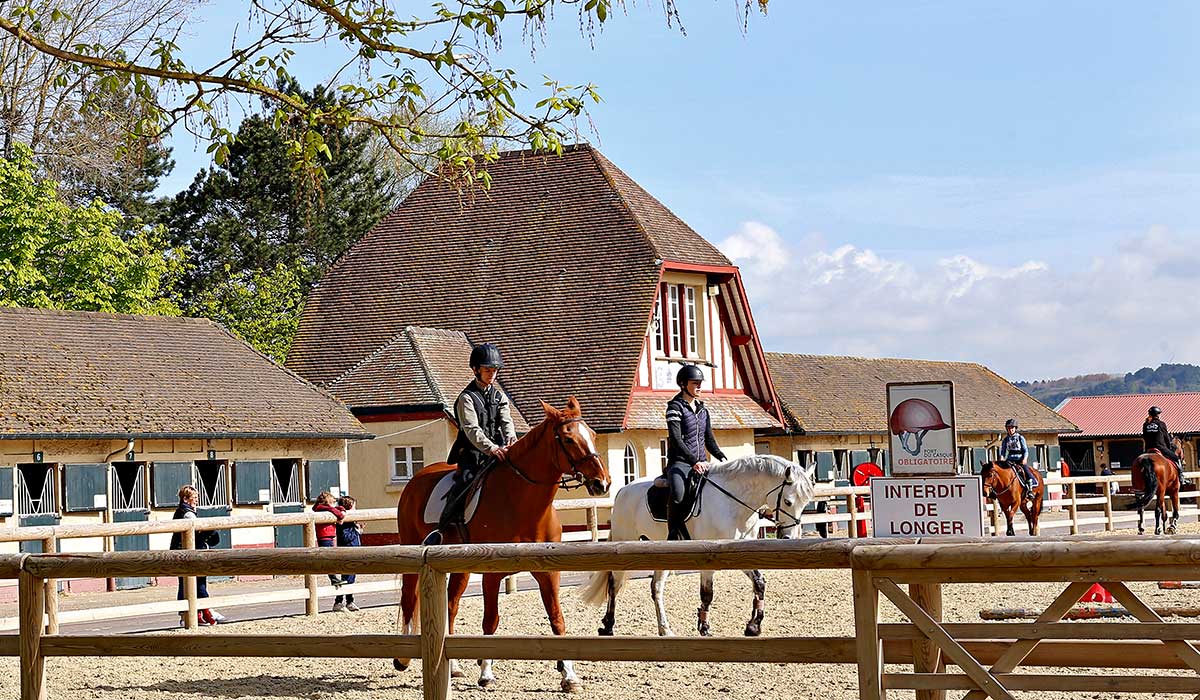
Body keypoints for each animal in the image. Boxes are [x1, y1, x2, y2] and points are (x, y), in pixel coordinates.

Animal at [393, 396, 609, 691]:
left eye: (594, 435)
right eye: (568, 439)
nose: (602, 483)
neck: (521, 502)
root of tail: (415, 479)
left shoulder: (549, 572)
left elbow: (557, 619)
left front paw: (569, 676)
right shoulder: (492, 575)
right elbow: (490, 622)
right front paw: (486, 673)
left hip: (458, 568)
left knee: (450, 605)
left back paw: (454, 667)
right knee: (408, 598)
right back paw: (402, 659)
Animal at [578, 453, 816, 638]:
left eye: (805, 503)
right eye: (788, 502)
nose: (789, 537)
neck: (733, 502)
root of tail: (622, 491)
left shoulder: (739, 552)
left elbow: (759, 583)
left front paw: (753, 627)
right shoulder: (708, 557)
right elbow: (707, 593)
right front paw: (704, 627)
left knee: (656, 587)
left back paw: (664, 629)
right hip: (625, 544)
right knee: (614, 584)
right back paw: (608, 626)